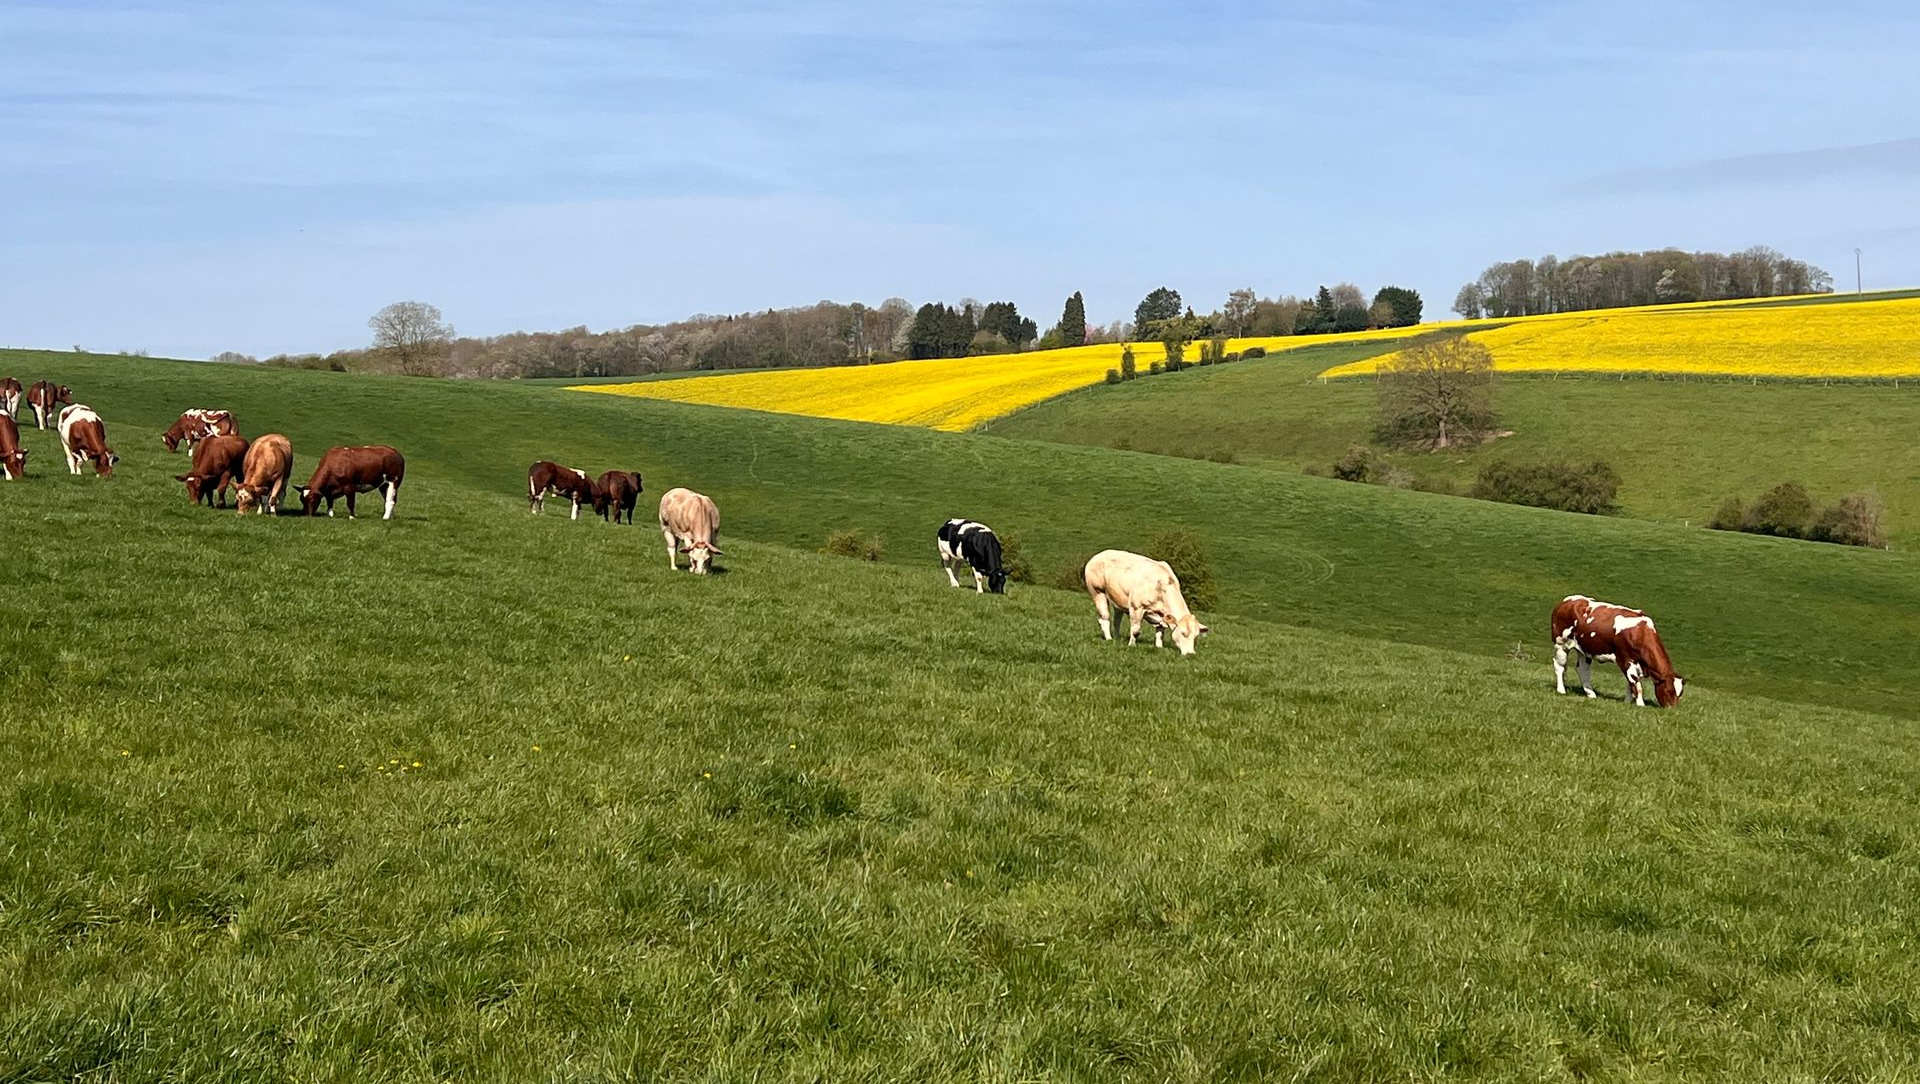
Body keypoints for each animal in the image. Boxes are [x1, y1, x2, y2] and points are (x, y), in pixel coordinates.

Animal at [1550, 594, 1686, 707]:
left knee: (1582, 669)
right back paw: (1561, 690)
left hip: (1585, 649)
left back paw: (1591, 694)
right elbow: (1636, 684)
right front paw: (1640, 705)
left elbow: (1630, 684)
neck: (1640, 633)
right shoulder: (1626, 659)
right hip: (1561, 644)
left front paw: (1627, 702)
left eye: (1680, 693)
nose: (1672, 710)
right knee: (1559, 666)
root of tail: (1566, 601)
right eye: (1668, 691)